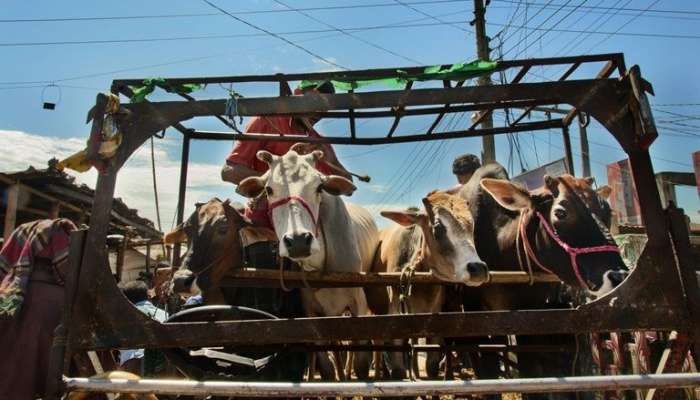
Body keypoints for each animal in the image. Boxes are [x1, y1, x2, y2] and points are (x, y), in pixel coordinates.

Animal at [237, 146, 380, 382]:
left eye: (319, 186)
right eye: (269, 189)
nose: (297, 241)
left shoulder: (358, 303)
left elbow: (361, 360)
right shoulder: (311, 311)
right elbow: (326, 364)